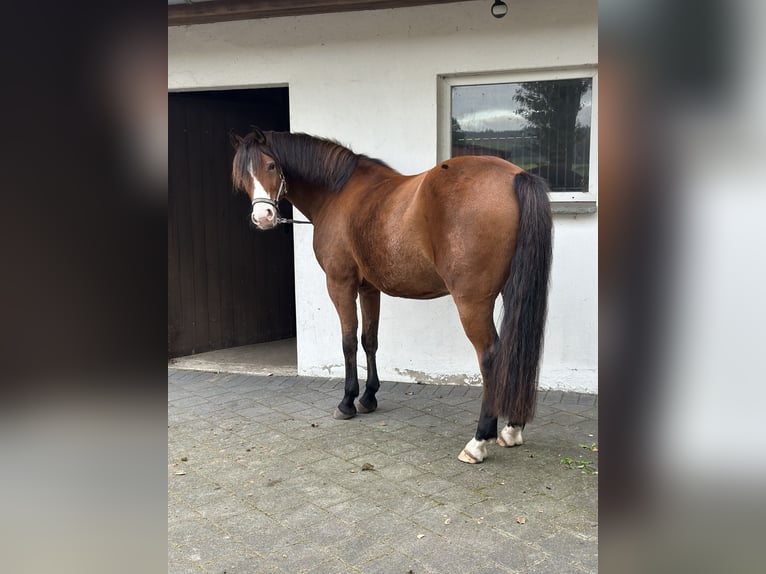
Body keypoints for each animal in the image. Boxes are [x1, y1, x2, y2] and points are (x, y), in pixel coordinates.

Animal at [230, 128, 552, 464]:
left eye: (270, 166)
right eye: (239, 176)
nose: (264, 216)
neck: (337, 192)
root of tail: (516, 176)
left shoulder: (340, 284)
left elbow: (348, 341)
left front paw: (347, 402)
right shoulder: (368, 288)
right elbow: (369, 340)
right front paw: (368, 397)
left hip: (472, 302)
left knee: (491, 357)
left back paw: (478, 441)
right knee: (515, 349)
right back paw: (512, 429)